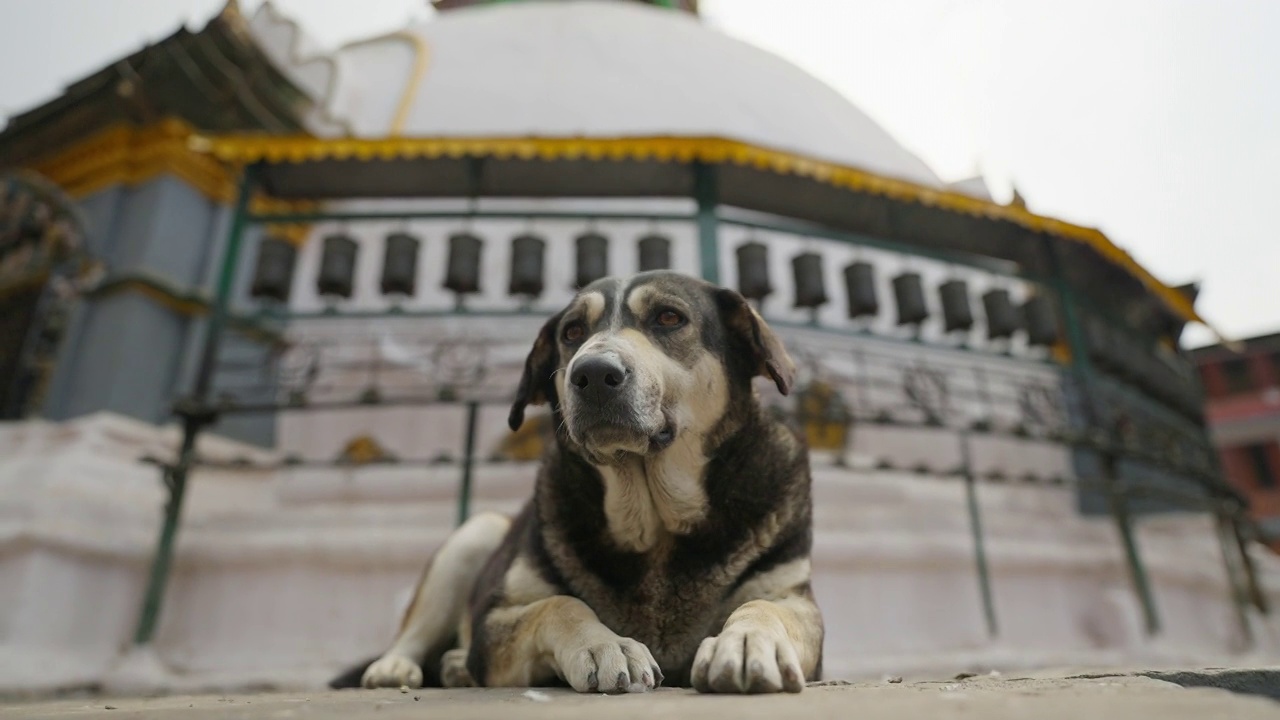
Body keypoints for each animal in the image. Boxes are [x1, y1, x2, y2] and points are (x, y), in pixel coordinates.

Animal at [327, 271, 819, 691]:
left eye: (669, 318)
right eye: (572, 332)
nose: (594, 373)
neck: (653, 523)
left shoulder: (789, 595)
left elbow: (763, 606)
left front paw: (748, 642)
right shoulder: (494, 621)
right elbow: (559, 605)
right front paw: (605, 644)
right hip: (475, 534)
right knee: (413, 633)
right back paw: (399, 667)